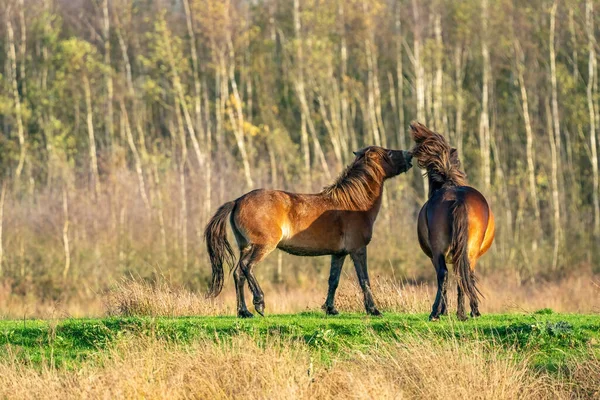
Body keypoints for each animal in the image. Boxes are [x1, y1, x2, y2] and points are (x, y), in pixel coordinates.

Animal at [204, 145, 410, 318]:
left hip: (245, 247)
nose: (409, 154)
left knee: (238, 274)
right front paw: (373, 309)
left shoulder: (339, 254)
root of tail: (238, 201)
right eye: (389, 153)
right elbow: (364, 279)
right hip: (263, 246)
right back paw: (259, 303)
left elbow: (333, 280)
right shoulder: (358, 250)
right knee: (247, 267)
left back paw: (244, 312)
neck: (353, 204)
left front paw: (330, 309)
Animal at [410, 123, 494, 320]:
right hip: (468, 251)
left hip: (440, 251)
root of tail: (458, 198)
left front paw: (443, 310)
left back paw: (439, 312)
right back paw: (466, 312)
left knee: (447, 275)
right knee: (463, 275)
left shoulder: (434, 256)